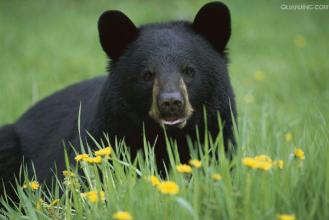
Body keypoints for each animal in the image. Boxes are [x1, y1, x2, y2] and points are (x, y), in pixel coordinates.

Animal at [0, 1, 236, 191]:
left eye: (189, 70)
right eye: (147, 74)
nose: (171, 102)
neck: (168, 138)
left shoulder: (219, 136)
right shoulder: (103, 137)